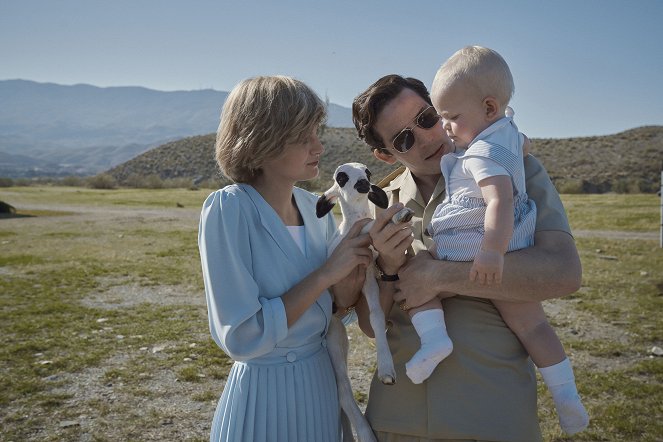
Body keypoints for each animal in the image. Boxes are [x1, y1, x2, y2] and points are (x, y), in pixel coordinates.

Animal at [318, 163, 416, 442]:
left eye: (367, 172)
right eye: (341, 177)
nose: (362, 183)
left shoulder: (369, 280)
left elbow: (376, 315)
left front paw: (386, 369)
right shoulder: (344, 253)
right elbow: (368, 227)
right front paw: (395, 216)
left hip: (341, 340)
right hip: (332, 338)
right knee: (342, 390)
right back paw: (366, 434)